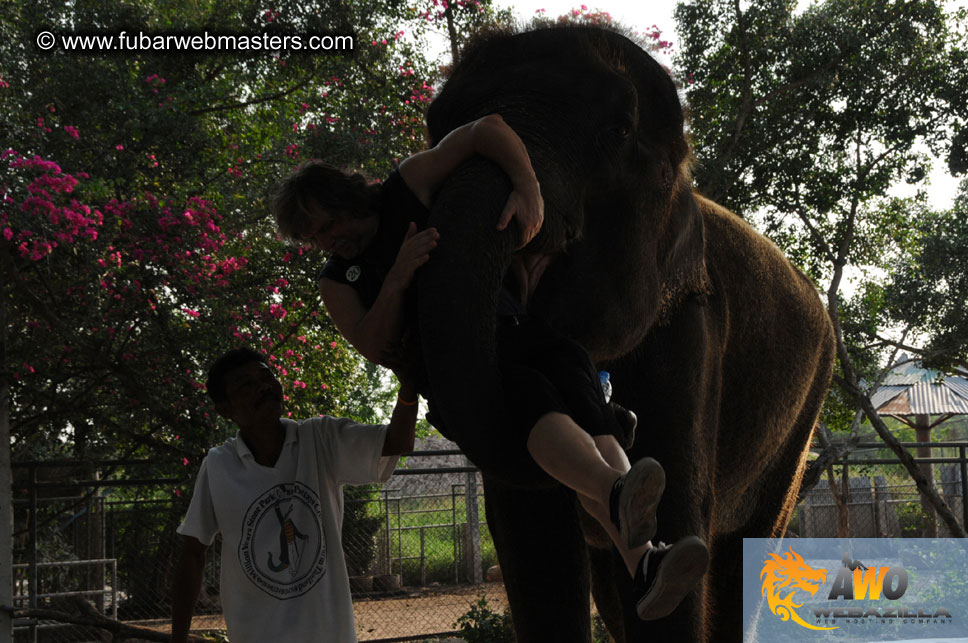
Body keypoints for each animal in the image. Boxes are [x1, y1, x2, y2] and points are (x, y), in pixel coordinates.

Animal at [412, 25, 836, 643]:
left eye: (617, 130)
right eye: (437, 127)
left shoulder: (691, 325)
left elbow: (677, 506)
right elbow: (533, 539)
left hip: (798, 426)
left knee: (744, 550)